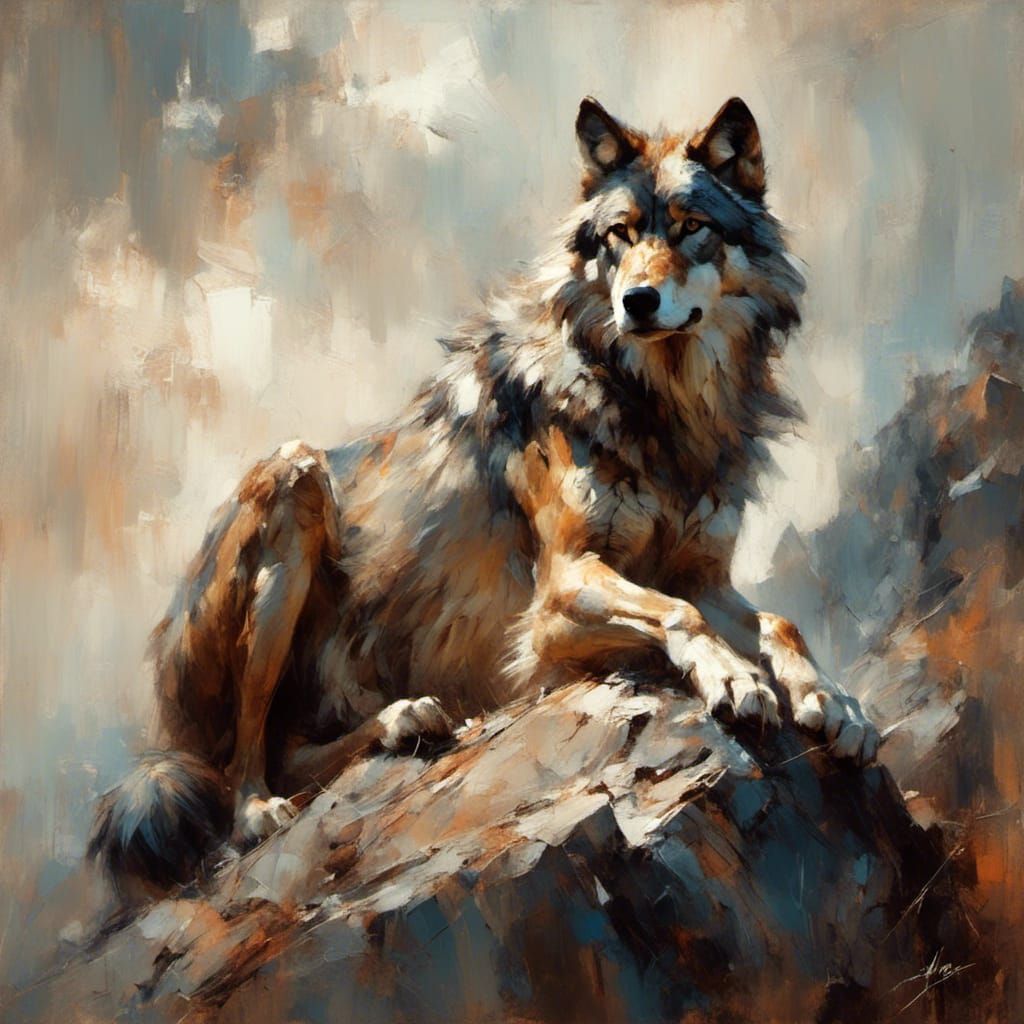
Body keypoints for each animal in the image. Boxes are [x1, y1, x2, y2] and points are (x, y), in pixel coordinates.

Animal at [90, 96, 879, 896]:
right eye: (620, 235)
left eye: (693, 226)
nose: (637, 300)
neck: (662, 405)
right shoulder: (557, 597)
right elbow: (680, 615)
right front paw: (733, 675)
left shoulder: (703, 574)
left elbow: (780, 622)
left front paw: (829, 699)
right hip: (293, 480)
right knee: (244, 766)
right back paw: (263, 809)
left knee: (295, 751)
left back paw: (406, 720)